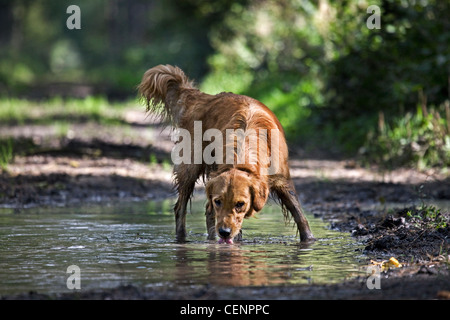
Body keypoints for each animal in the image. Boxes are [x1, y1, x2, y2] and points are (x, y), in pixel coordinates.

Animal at [139, 65, 314, 245]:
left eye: (240, 204)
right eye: (218, 201)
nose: (224, 232)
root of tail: (203, 97)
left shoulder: (283, 180)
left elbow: (299, 214)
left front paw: (309, 240)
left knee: (205, 212)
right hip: (189, 167)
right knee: (181, 208)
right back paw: (183, 239)